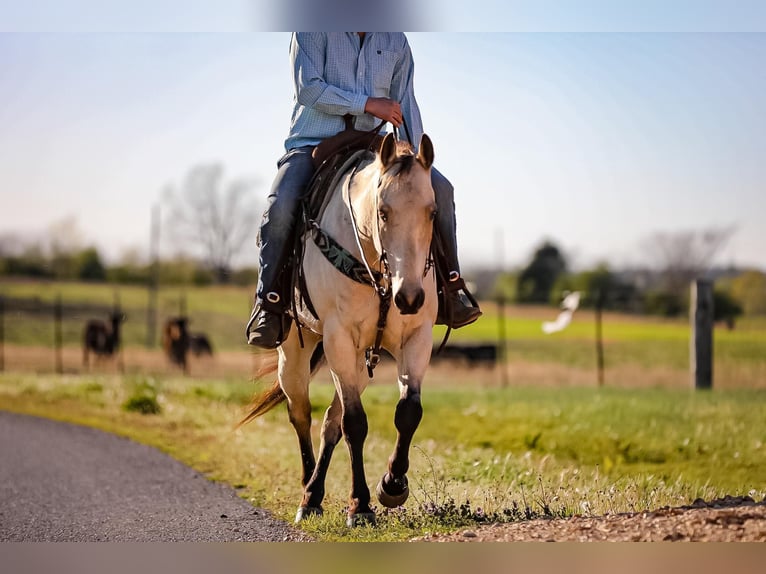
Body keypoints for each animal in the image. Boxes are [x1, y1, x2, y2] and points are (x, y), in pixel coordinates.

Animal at [243, 134, 440, 528]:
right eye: (383, 212)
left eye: (432, 211)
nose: (409, 296)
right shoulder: (339, 338)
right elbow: (355, 422)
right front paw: (361, 505)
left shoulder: (416, 337)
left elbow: (407, 411)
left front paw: (392, 485)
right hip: (295, 353)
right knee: (301, 413)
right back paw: (308, 494)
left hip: (361, 360)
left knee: (329, 424)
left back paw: (317, 491)